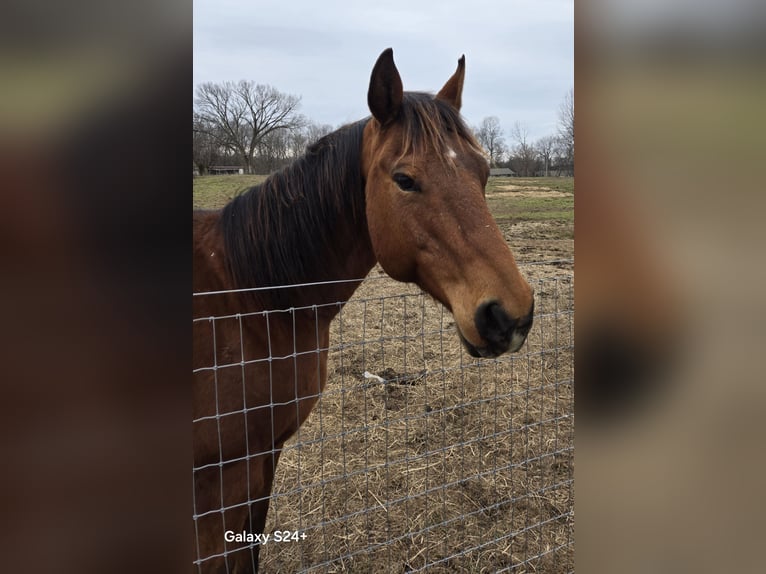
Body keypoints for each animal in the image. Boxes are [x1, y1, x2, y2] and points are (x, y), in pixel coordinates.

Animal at [192, 48, 534, 573]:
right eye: (405, 180)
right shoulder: (218, 480)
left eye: (482, 172)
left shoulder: (264, 456)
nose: (510, 316)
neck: (249, 298)